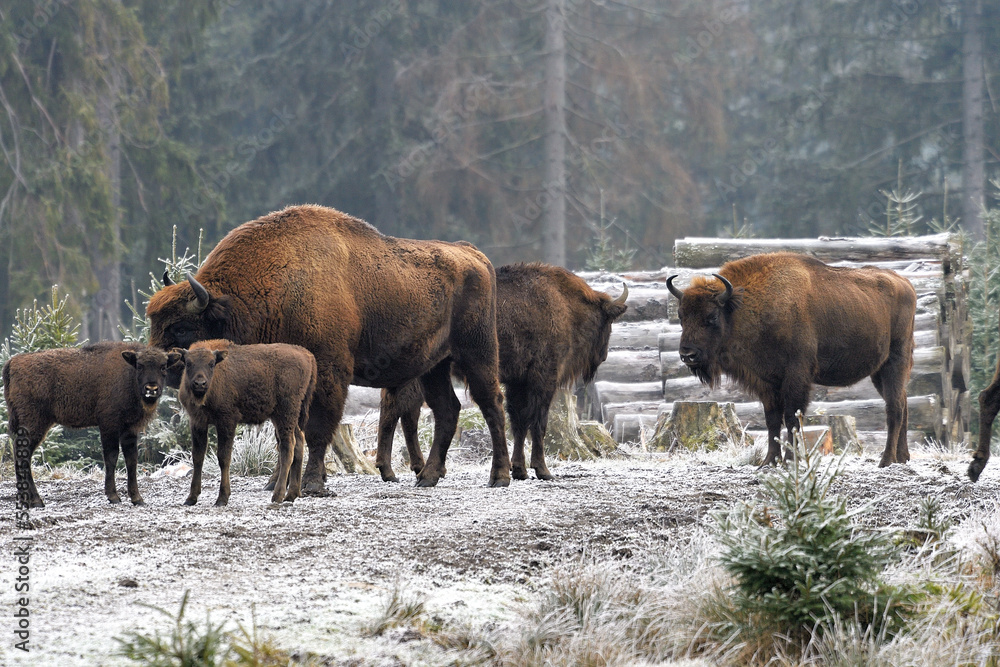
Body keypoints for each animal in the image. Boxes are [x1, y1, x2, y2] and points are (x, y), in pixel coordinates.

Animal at [1, 344, 181, 506]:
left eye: (163, 366)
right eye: (140, 365)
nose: (151, 388)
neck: (128, 375)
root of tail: (13, 363)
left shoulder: (130, 430)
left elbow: (131, 460)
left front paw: (138, 499)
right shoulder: (109, 425)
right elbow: (111, 457)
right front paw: (113, 496)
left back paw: (27, 499)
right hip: (35, 424)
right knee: (23, 455)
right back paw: (36, 500)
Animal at [177, 340, 316, 506]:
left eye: (211, 363)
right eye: (188, 363)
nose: (200, 383)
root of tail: (307, 355)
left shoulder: (226, 421)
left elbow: (223, 458)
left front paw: (222, 498)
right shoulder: (197, 422)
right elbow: (198, 458)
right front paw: (191, 498)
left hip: (285, 413)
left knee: (287, 448)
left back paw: (277, 495)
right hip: (288, 417)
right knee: (299, 443)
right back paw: (291, 495)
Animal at [376, 262, 624, 486]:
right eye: (608, 322)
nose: (603, 356)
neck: (564, 303)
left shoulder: (518, 382)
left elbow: (519, 422)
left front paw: (520, 470)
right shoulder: (543, 378)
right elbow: (538, 422)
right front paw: (542, 471)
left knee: (402, 412)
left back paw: (409, 469)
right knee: (398, 410)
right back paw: (395, 470)